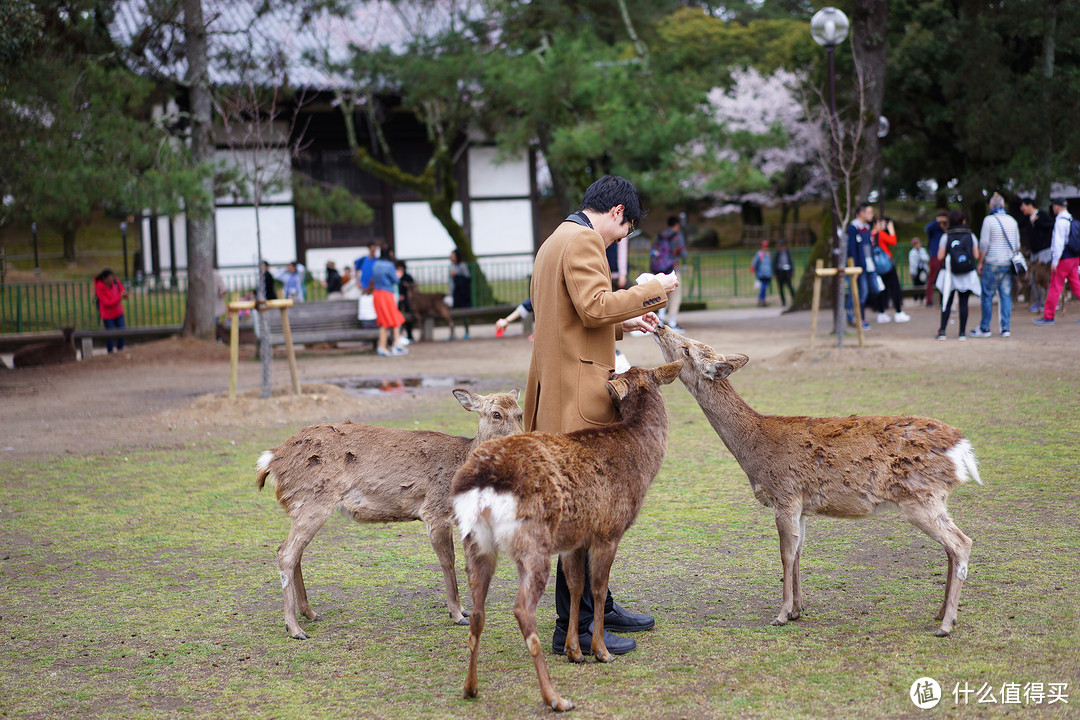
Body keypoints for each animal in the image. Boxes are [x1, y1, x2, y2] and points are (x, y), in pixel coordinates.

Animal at [253, 390, 522, 639]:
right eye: (496, 414)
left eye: (520, 413)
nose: (520, 437)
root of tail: (271, 460)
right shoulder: (434, 510)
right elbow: (448, 561)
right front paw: (457, 614)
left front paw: (462, 609)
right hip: (312, 502)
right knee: (286, 552)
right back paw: (294, 628)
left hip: (302, 507)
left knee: (295, 553)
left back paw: (309, 612)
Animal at [451, 362, 678, 712]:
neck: (641, 460)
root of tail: (480, 481)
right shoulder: (608, 530)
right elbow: (597, 588)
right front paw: (600, 651)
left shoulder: (575, 538)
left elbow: (574, 586)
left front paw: (574, 651)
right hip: (533, 542)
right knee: (522, 609)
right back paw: (556, 698)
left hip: (476, 542)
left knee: (477, 611)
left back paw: (471, 687)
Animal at [652, 325, 984, 634]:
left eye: (687, 349)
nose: (659, 326)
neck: (752, 448)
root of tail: (961, 447)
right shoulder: (802, 505)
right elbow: (798, 552)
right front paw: (798, 609)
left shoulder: (785, 494)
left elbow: (785, 554)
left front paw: (781, 614)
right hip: (933, 498)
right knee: (951, 546)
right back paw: (941, 614)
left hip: (920, 496)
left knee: (961, 543)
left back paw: (946, 624)